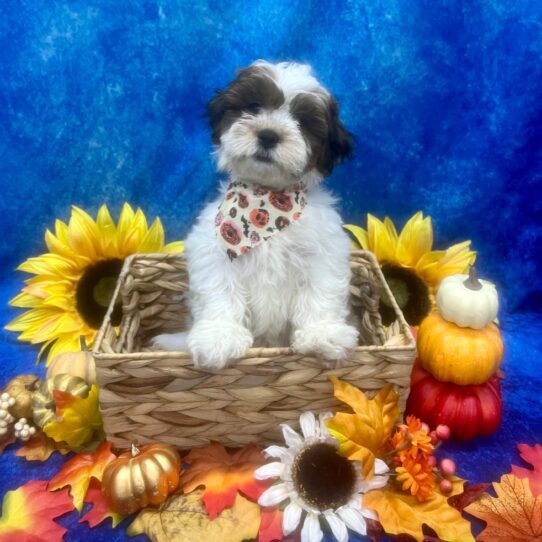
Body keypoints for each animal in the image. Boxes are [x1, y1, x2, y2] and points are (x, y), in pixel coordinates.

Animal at [153, 61, 360, 372]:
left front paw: (322, 333)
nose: (268, 135)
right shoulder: (213, 253)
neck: (268, 200)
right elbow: (220, 293)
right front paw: (219, 337)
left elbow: (320, 291)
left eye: (302, 121)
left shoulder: (324, 252)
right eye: (253, 106)